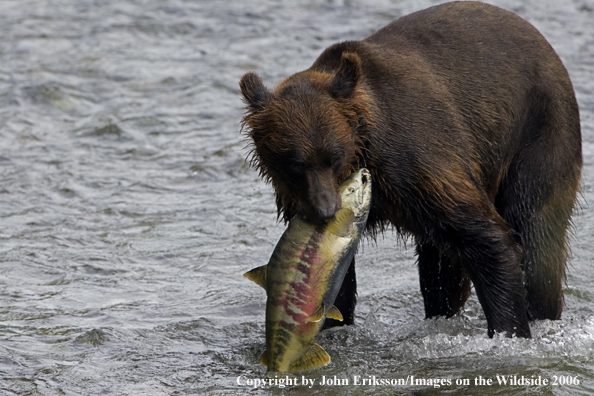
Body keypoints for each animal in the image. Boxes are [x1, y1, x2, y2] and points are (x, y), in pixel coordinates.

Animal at [238, 1, 580, 338]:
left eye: (333, 156)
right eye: (295, 163)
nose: (326, 210)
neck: (366, 149)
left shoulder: (417, 158)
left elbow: (488, 238)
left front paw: (510, 328)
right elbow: (338, 277)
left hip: (538, 132)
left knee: (536, 230)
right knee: (439, 266)